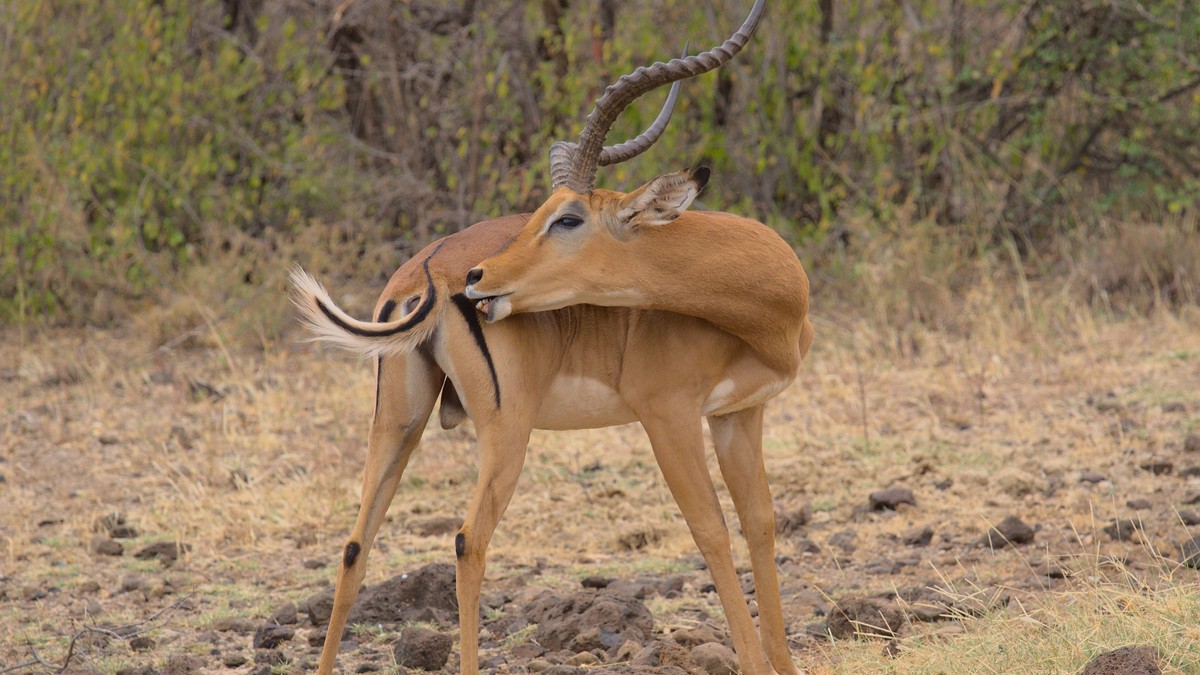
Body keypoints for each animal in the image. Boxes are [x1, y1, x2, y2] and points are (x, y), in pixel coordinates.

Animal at [292, 1, 812, 673]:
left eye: (568, 217)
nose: (478, 278)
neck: (767, 308)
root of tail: (425, 270)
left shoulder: (740, 414)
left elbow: (761, 523)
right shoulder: (668, 415)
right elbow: (712, 531)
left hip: (398, 421)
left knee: (356, 545)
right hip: (506, 430)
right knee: (468, 541)